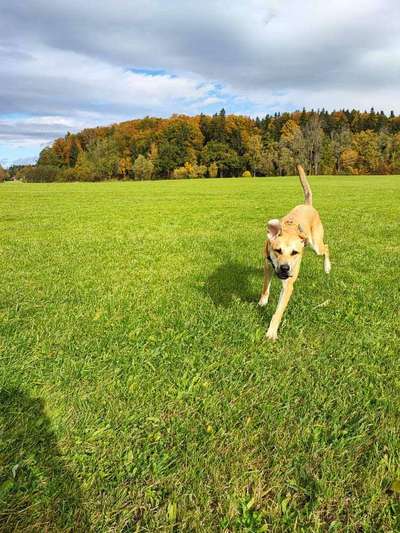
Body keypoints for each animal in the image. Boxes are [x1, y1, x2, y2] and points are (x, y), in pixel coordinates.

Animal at [260, 166, 332, 338]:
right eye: (277, 250)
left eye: (295, 253)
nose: (285, 268)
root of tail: (307, 205)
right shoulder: (267, 265)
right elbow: (265, 286)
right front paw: (262, 302)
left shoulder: (288, 285)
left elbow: (278, 311)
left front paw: (271, 333)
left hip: (315, 244)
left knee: (326, 247)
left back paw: (327, 267)